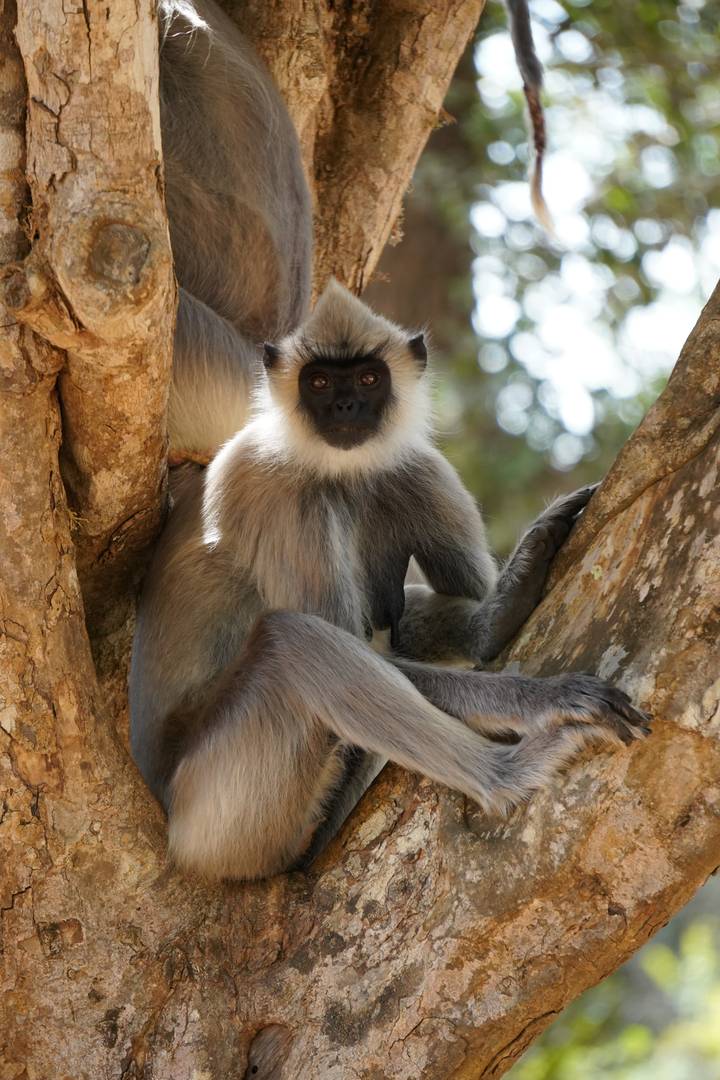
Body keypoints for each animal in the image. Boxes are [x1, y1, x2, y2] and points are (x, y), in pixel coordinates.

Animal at [129, 280, 650, 881]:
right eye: (320, 381)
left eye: (368, 379)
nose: (345, 407)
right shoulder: (272, 486)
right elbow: (343, 637)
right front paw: (545, 699)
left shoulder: (419, 468)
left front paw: (498, 613)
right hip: (218, 818)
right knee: (293, 640)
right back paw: (506, 775)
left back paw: (494, 622)